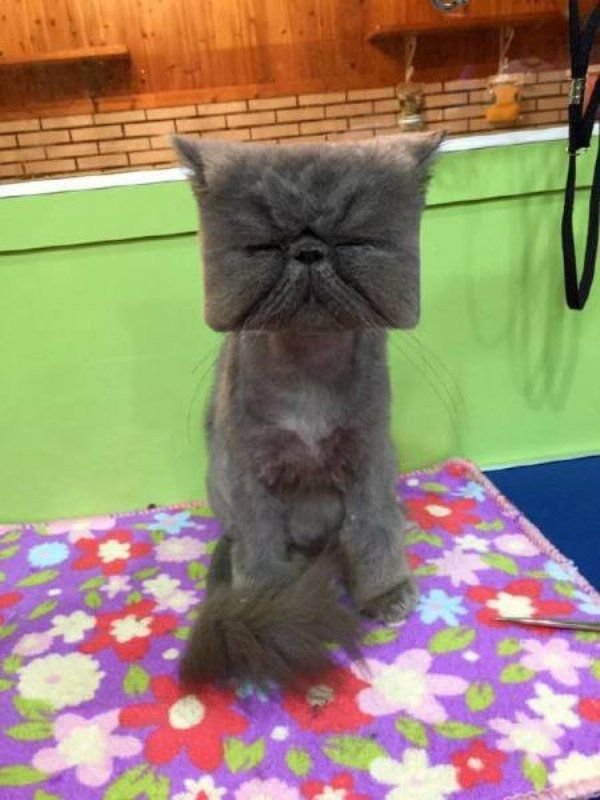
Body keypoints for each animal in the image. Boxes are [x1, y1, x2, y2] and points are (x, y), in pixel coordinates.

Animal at [173, 131, 440, 688]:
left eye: (356, 240)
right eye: (262, 246)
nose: (309, 249)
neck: (309, 372)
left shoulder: (369, 456)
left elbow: (373, 529)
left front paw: (384, 592)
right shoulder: (250, 473)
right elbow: (260, 550)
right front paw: (268, 612)